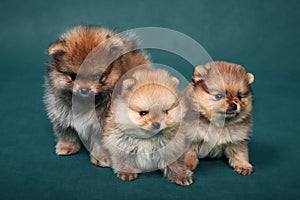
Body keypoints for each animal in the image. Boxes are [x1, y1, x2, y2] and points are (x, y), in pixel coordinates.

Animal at [44, 25, 148, 166]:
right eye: (74, 76)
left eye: (98, 77)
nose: (84, 89)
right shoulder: (63, 115)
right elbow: (67, 132)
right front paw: (67, 146)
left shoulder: (104, 125)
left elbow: (102, 144)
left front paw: (101, 157)